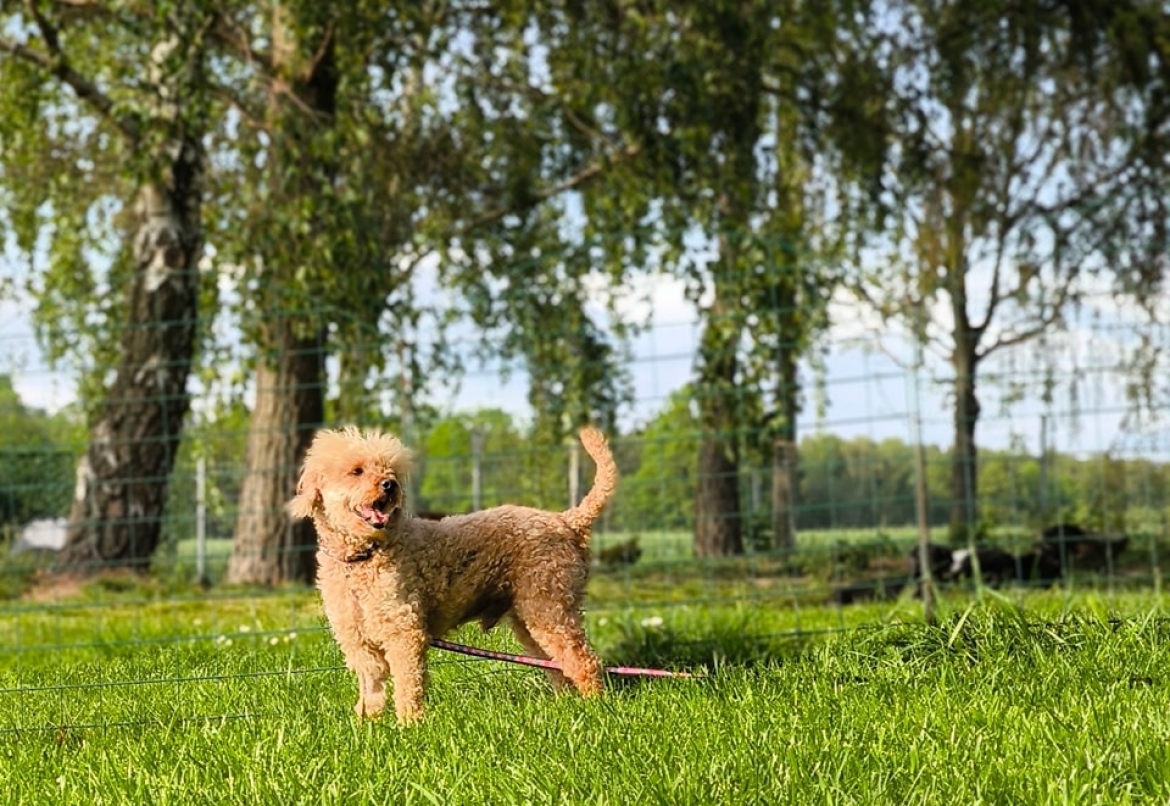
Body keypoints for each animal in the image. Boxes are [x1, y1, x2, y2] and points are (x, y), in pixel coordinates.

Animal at [287, 423, 617, 720]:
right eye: (356, 471)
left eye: (390, 470)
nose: (390, 485)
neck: (363, 557)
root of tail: (567, 521)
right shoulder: (357, 638)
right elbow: (372, 686)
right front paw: (369, 722)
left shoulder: (404, 630)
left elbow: (408, 683)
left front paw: (409, 723)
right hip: (534, 617)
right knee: (559, 665)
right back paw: (566, 704)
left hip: (549, 609)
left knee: (584, 661)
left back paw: (595, 707)